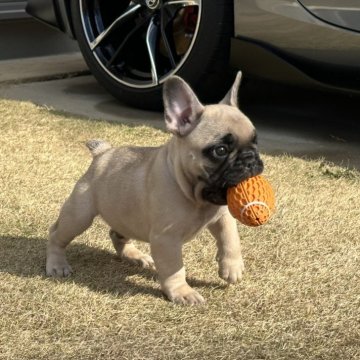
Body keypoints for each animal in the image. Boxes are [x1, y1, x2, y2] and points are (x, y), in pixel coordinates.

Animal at [46, 71, 262, 306]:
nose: (250, 158)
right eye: (220, 150)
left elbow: (230, 238)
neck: (196, 196)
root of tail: (103, 154)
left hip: (124, 216)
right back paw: (57, 264)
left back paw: (135, 255)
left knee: (116, 234)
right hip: (79, 215)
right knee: (57, 234)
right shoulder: (166, 239)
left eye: (255, 141)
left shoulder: (222, 216)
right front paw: (182, 292)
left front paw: (232, 267)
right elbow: (174, 269)